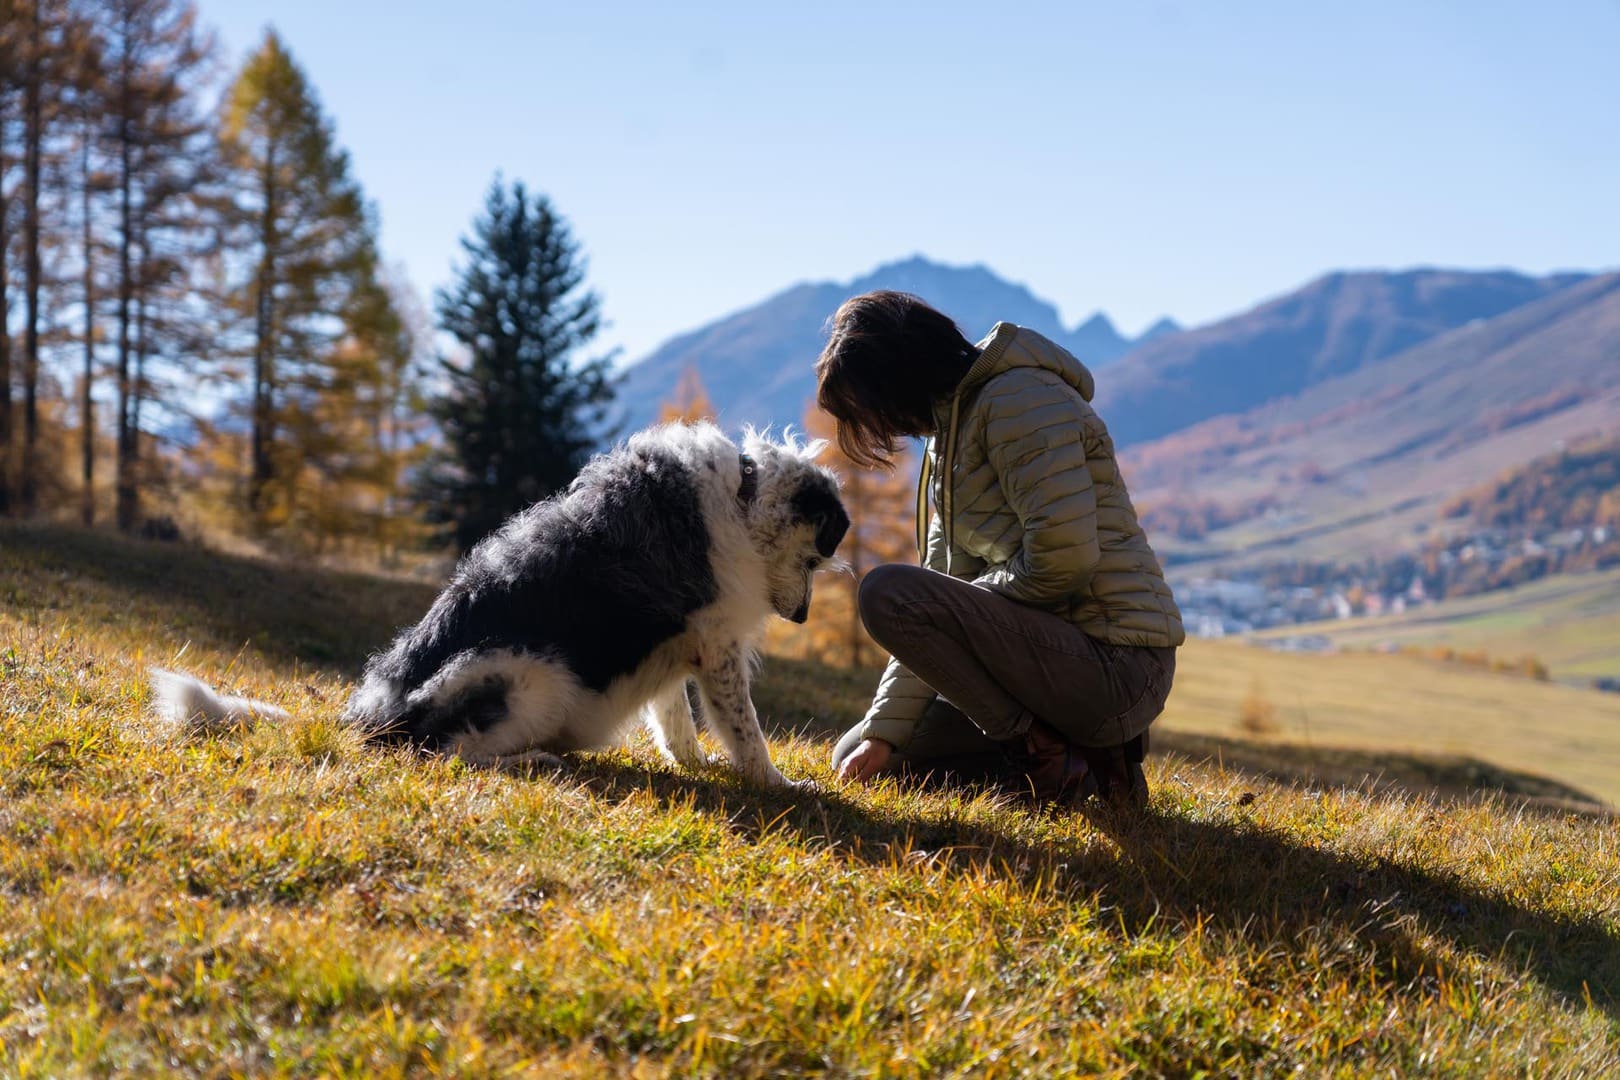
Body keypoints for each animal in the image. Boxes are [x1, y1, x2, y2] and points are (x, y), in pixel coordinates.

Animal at [154, 420, 848, 786]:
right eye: (817, 559)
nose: (801, 618)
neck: (744, 495)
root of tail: (372, 715)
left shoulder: (680, 645)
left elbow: (675, 721)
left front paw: (695, 762)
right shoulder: (719, 647)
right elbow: (746, 731)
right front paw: (777, 784)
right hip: (530, 676)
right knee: (448, 752)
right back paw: (539, 758)